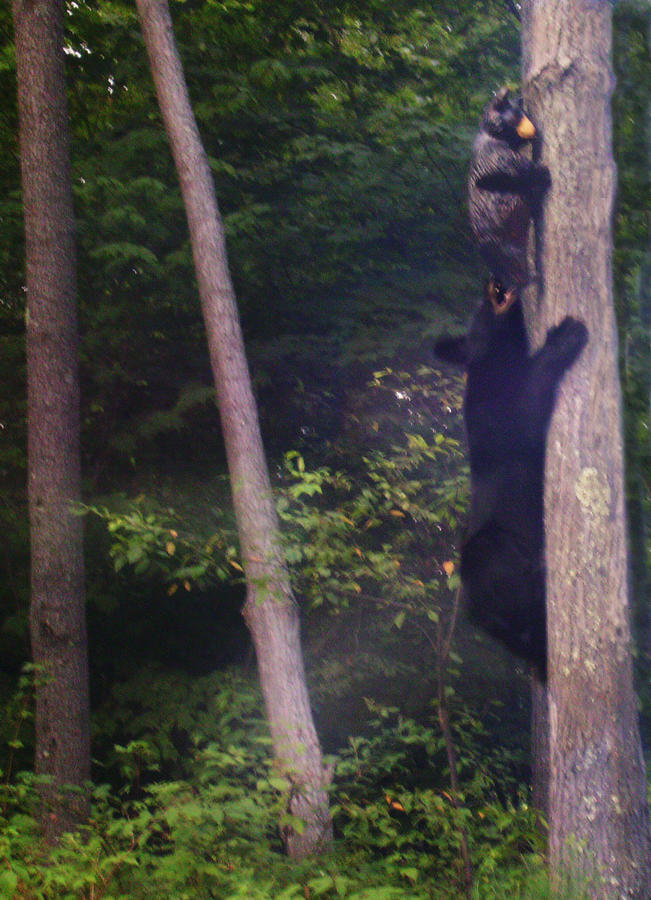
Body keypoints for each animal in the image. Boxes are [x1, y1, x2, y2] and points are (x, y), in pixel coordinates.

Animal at [434, 278, 588, 678]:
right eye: (481, 305)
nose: (494, 280)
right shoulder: (497, 412)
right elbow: (527, 408)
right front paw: (567, 336)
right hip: (491, 554)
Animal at [468, 87, 551, 292]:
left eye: (523, 112)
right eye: (517, 115)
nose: (533, 129)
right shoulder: (494, 155)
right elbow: (513, 167)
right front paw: (542, 172)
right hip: (502, 241)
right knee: (514, 263)